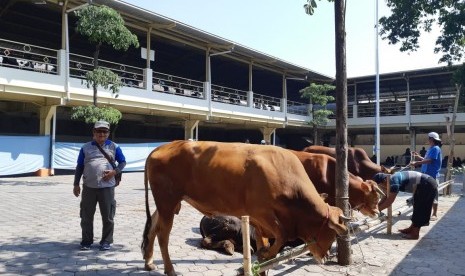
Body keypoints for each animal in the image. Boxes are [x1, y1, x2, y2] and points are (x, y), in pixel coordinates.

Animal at [140, 141, 348, 274]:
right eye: (332, 233)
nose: (326, 256)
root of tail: (162, 147)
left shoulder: (257, 220)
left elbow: (266, 240)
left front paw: (263, 258)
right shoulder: (261, 213)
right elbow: (282, 234)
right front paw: (267, 253)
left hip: (168, 203)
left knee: (152, 229)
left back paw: (149, 262)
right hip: (167, 202)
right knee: (163, 235)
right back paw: (170, 269)